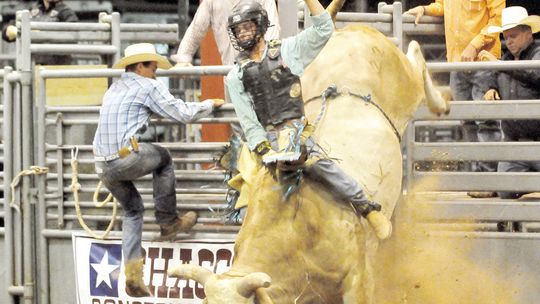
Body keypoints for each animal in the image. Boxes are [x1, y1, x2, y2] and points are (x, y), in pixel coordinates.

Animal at [168, 15, 448, 304]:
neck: (293, 229)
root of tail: (349, 33)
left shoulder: (358, 279)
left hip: (405, 81)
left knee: (415, 56)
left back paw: (441, 102)